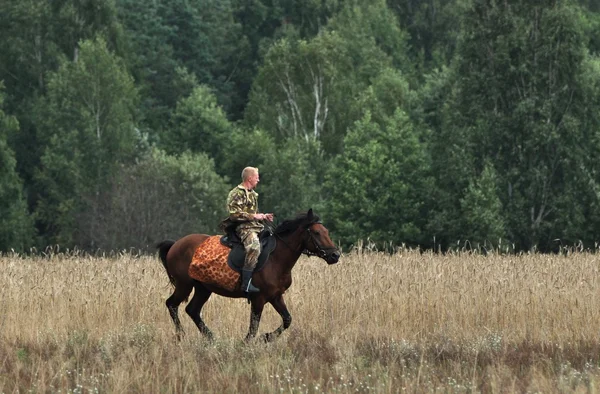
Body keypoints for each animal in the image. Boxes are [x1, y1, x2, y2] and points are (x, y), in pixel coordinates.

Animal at [157, 209, 340, 342]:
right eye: (316, 233)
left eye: (326, 231)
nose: (335, 255)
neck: (275, 259)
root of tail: (175, 245)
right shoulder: (258, 299)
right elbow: (253, 327)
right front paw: (248, 342)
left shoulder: (276, 296)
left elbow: (287, 319)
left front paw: (267, 337)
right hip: (184, 285)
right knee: (172, 304)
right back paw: (181, 335)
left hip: (203, 288)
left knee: (192, 310)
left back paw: (212, 338)